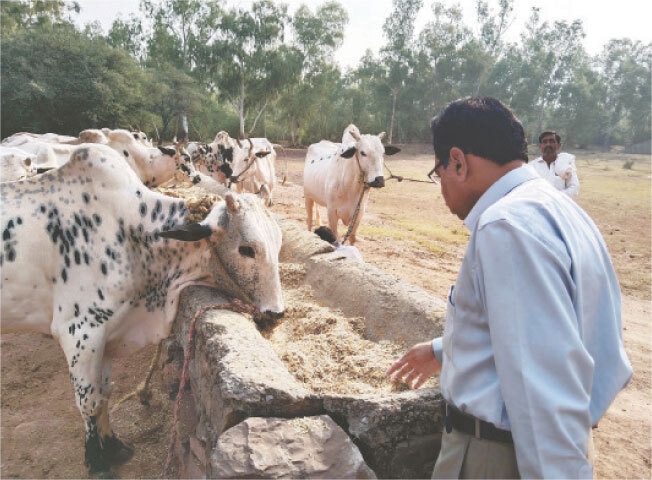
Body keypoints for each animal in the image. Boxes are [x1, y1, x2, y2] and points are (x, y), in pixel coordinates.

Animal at [0, 143, 285, 476]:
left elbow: (104, 394)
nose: (277, 313)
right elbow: (89, 402)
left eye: (278, 242)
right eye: (246, 249)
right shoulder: (79, 333)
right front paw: (96, 461)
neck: (132, 233)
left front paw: (113, 446)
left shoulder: (108, 336)